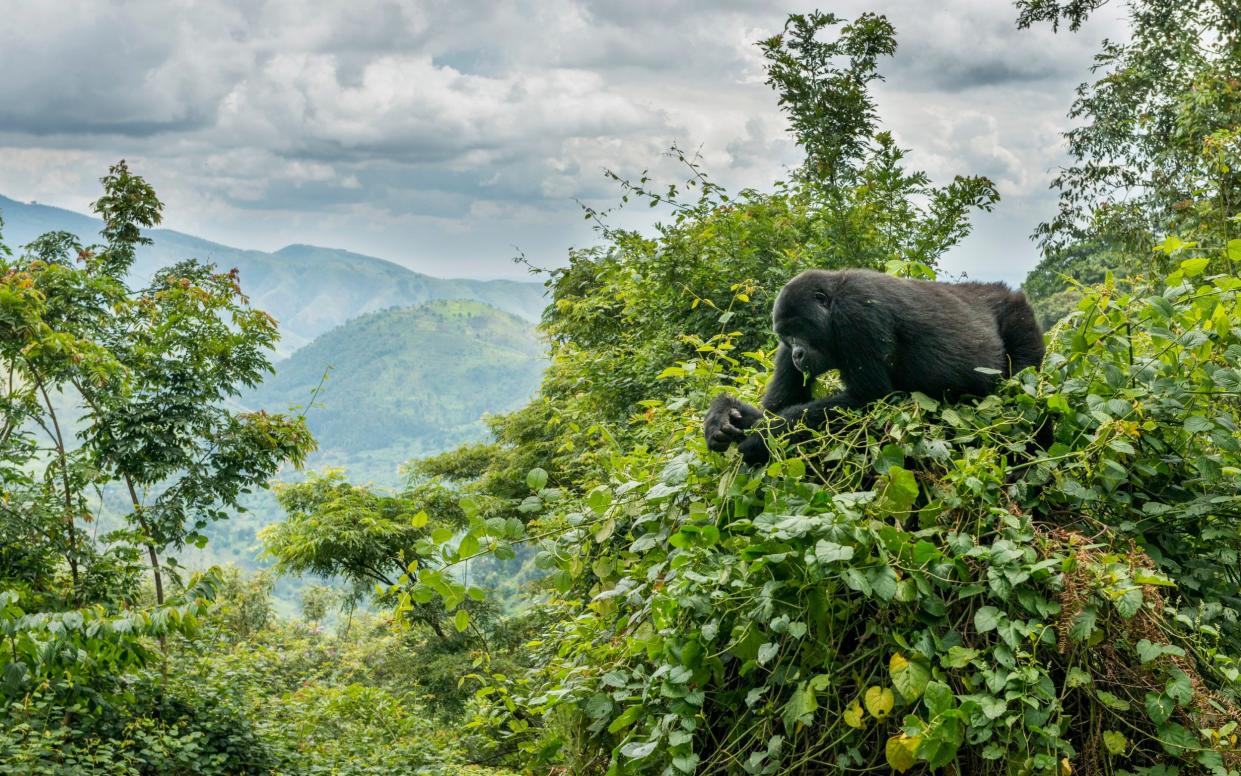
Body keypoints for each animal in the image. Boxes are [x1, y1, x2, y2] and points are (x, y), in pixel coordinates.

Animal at [704, 269, 1042, 461]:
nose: (798, 354)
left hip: (1020, 320)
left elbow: (870, 399)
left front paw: (762, 437)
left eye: (799, 329)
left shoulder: (856, 313)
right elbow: (778, 404)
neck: (833, 298)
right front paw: (723, 414)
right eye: (786, 335)